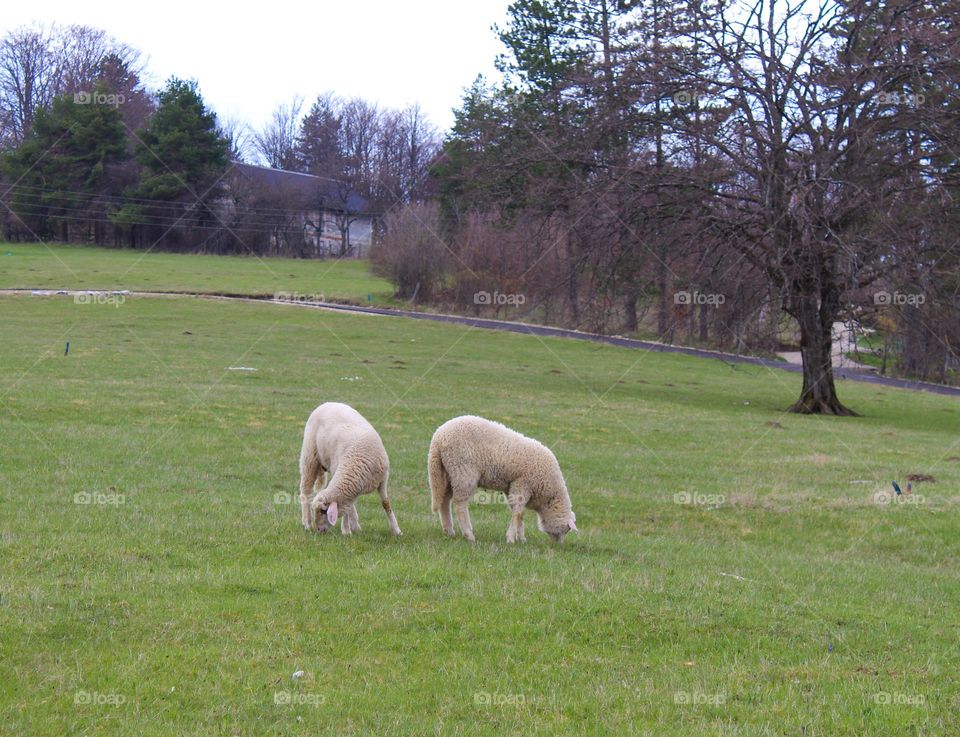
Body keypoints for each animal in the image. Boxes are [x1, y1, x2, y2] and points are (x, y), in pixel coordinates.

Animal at [298, 402, 400, 536]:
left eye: (324, 511)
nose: (319, 530)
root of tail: (327, 403)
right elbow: (348, 507)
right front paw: (346, 531)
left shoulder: (383, 480)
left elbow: (386, 504)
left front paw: (396, 530)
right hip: (310, 456)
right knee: (306, 490)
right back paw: (307, 523)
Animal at [428, 414, 576, 540]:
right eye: (567, 530)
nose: (559, 544)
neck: (548, 496)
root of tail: (438, 438)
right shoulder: (523, 483)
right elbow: (517, 513)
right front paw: (511, 538)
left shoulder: (512, 487)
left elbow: (519, 513)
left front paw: (521, 538)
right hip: (463, 471)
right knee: (460, 503)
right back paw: (468, 534)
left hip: (447, 472)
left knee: (444, 500)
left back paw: (449, 531)